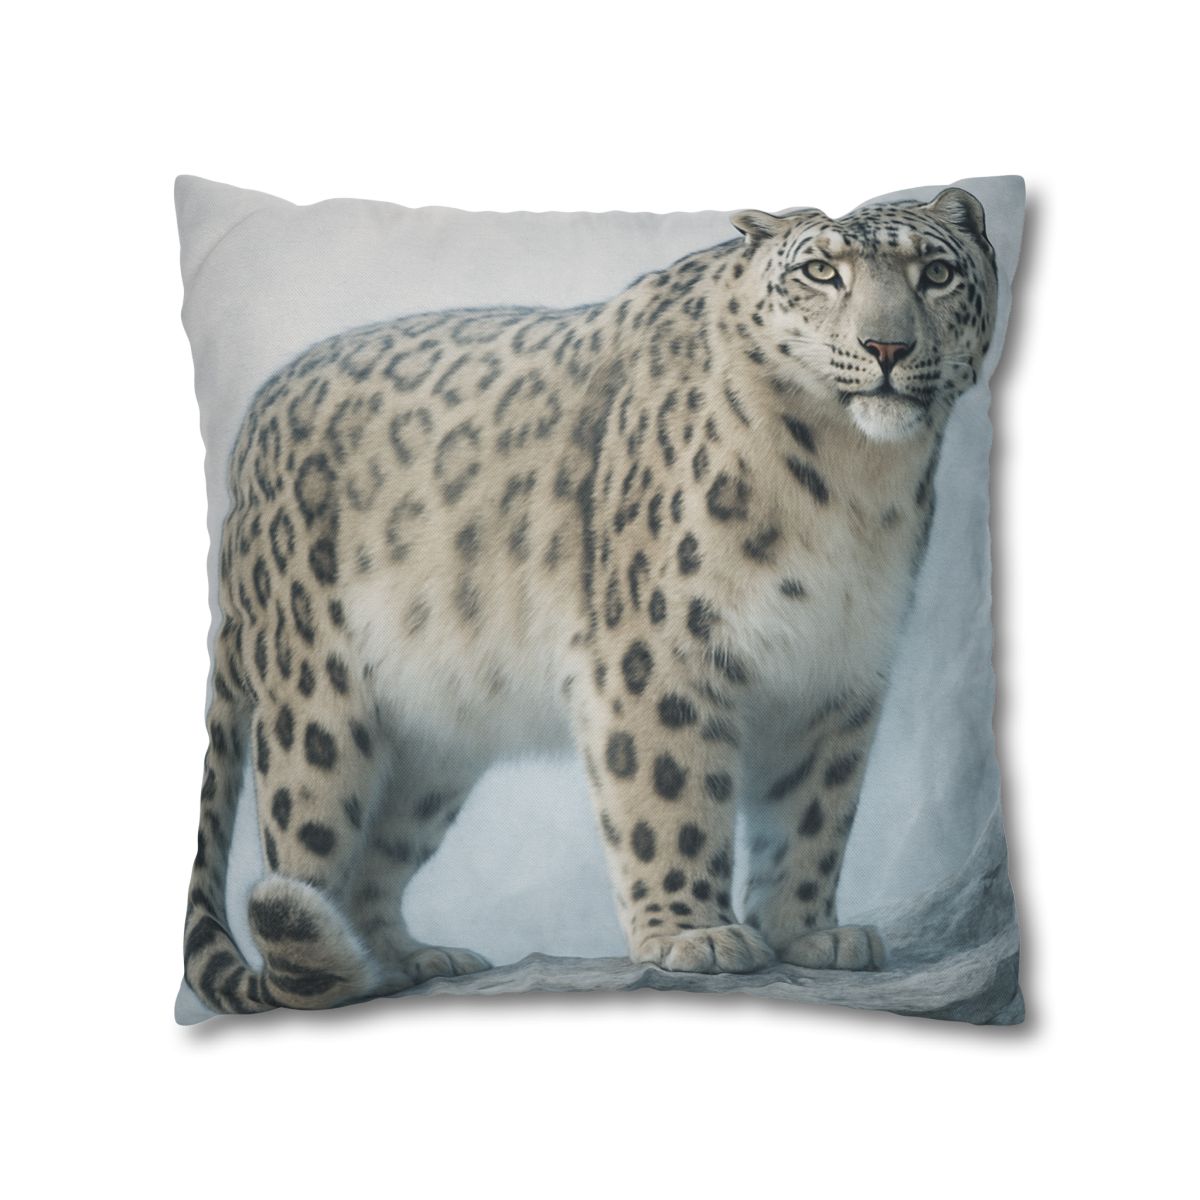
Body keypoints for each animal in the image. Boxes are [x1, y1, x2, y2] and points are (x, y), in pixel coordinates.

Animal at [182, 187, 998, 1014]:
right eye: (822, 272)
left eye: (936, 273)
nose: (886, 347)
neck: (853, 484)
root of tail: (249, 431)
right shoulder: (658, 650)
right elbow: (672, 793)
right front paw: (694, 933)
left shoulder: (839, 669)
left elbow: (814, 813)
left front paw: (810, 933)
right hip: (316, 710)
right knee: (306, 855)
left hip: (431, 747)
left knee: (377, 855)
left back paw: (409, 959)